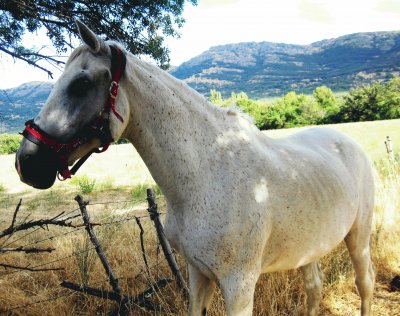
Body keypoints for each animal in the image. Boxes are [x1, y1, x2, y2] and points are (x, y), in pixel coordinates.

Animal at [16, 21, 376, 314]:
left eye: (81, 83)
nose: (26, 162)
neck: (207, 173)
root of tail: (349, 144)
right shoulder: (197, 272)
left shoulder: (239, 287)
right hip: (309, 248)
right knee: (314, 288)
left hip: (359, 238)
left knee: (365, 284)